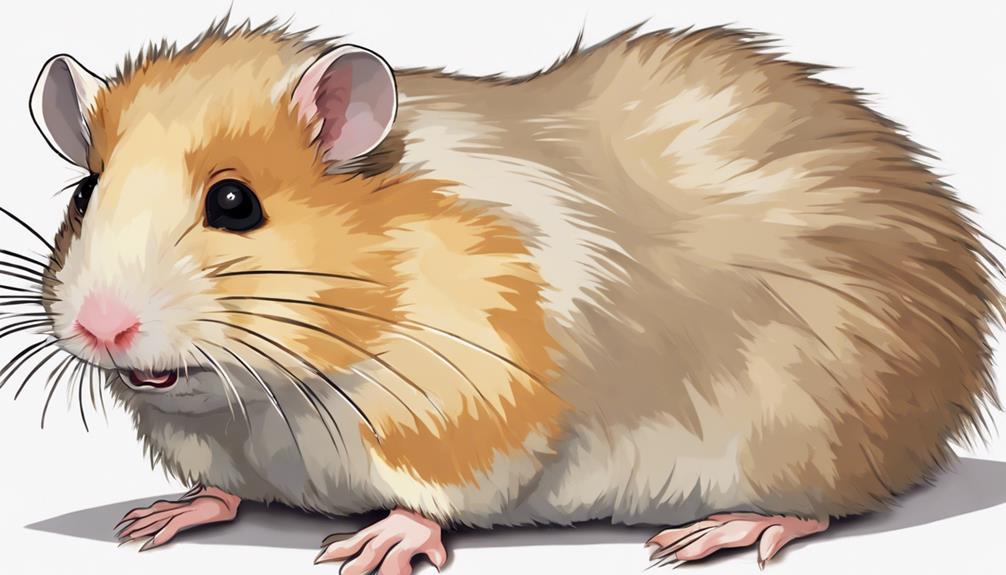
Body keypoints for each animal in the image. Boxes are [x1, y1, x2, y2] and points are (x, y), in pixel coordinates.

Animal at [10, 17, 1002, 573]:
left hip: (807, 430)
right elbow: (219, 489)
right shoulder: (220, 443)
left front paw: (375, 547)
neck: (271, 393)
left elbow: (435, 494)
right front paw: (160, 516)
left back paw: (717, 532)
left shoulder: (474, 401)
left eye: (233, 204)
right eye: (83, 192)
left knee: (821, 505)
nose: (103, 328)